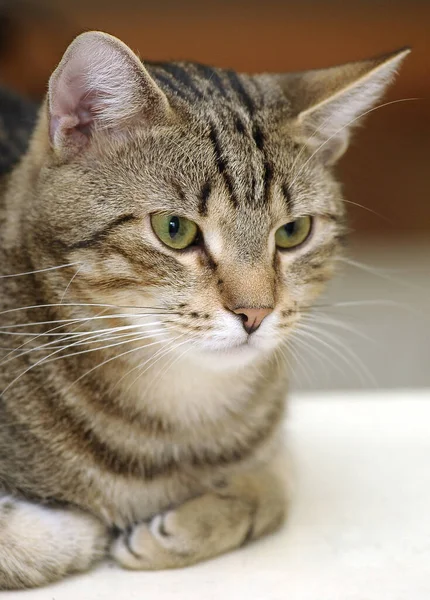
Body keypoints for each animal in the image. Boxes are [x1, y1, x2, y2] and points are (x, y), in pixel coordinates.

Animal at [0, 30, 410, 588]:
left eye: (293, 232)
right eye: (174, 229)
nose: (255, 313)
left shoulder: (273, 442)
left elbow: (273, 487)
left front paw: (185, 527)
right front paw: (76, 531)